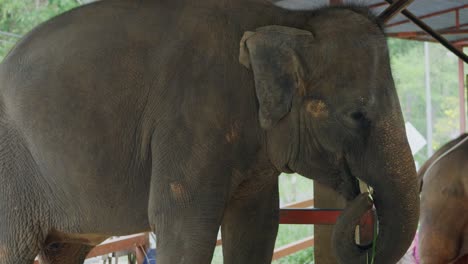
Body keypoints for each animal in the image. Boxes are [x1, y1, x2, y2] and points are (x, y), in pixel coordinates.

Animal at [0, 0, 420, 264]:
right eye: (357, 115)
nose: (364, 198)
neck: (288, 19)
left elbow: (257, 227)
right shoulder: (191, 116)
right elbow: (184, 226)